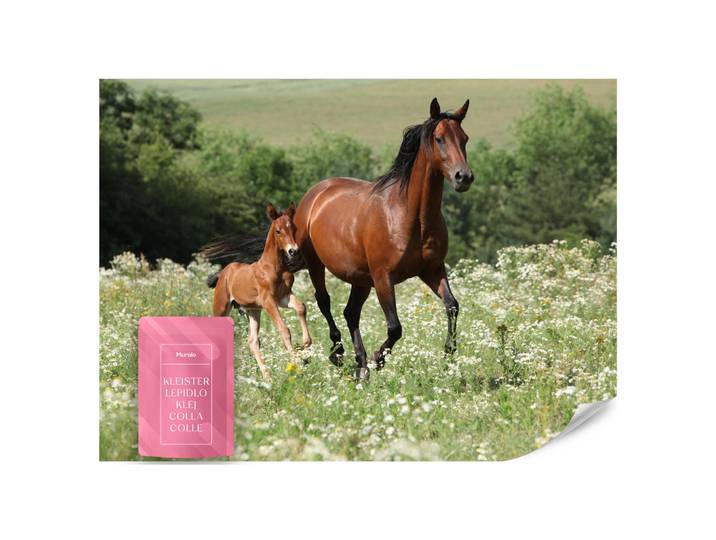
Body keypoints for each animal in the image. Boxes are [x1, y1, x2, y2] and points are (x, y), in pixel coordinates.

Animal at [207, 203, 312, 379]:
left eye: (294, 228)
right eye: (278, 231)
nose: (293, 251)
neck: (273, 267)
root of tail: (224, 272)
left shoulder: (283, 297)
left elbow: (300, 307)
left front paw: (306, 345)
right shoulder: (268, 300)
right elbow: (284, 329)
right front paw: (297, 364)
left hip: (253, 311)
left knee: (252, 341)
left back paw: (267, 376)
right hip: (221, 307)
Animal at [293, 98, 474, 380]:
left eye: (464, 138)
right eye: (439, 138)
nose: (463, 177)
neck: (410, 215)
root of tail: (315, 194)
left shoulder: (432, 270)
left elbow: (452, 305)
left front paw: (449, 351)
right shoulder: (383, 278)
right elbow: (395, 327)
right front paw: (379, 358)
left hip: (360, 278)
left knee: (351, 312)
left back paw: (360, 365)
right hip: (316, 264)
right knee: (324, 301)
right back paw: (339, 354)